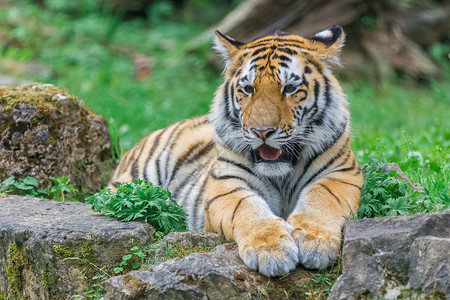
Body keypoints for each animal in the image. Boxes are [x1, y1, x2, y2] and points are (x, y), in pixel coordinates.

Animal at [109, 25, 362, 276]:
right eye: (248, 89)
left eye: (290, 88)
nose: (262, 131)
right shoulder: (227, 184)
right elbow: (248, 209)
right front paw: (272, 250)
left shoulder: (341, 174)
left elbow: (320, 199)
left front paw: (315, 243)